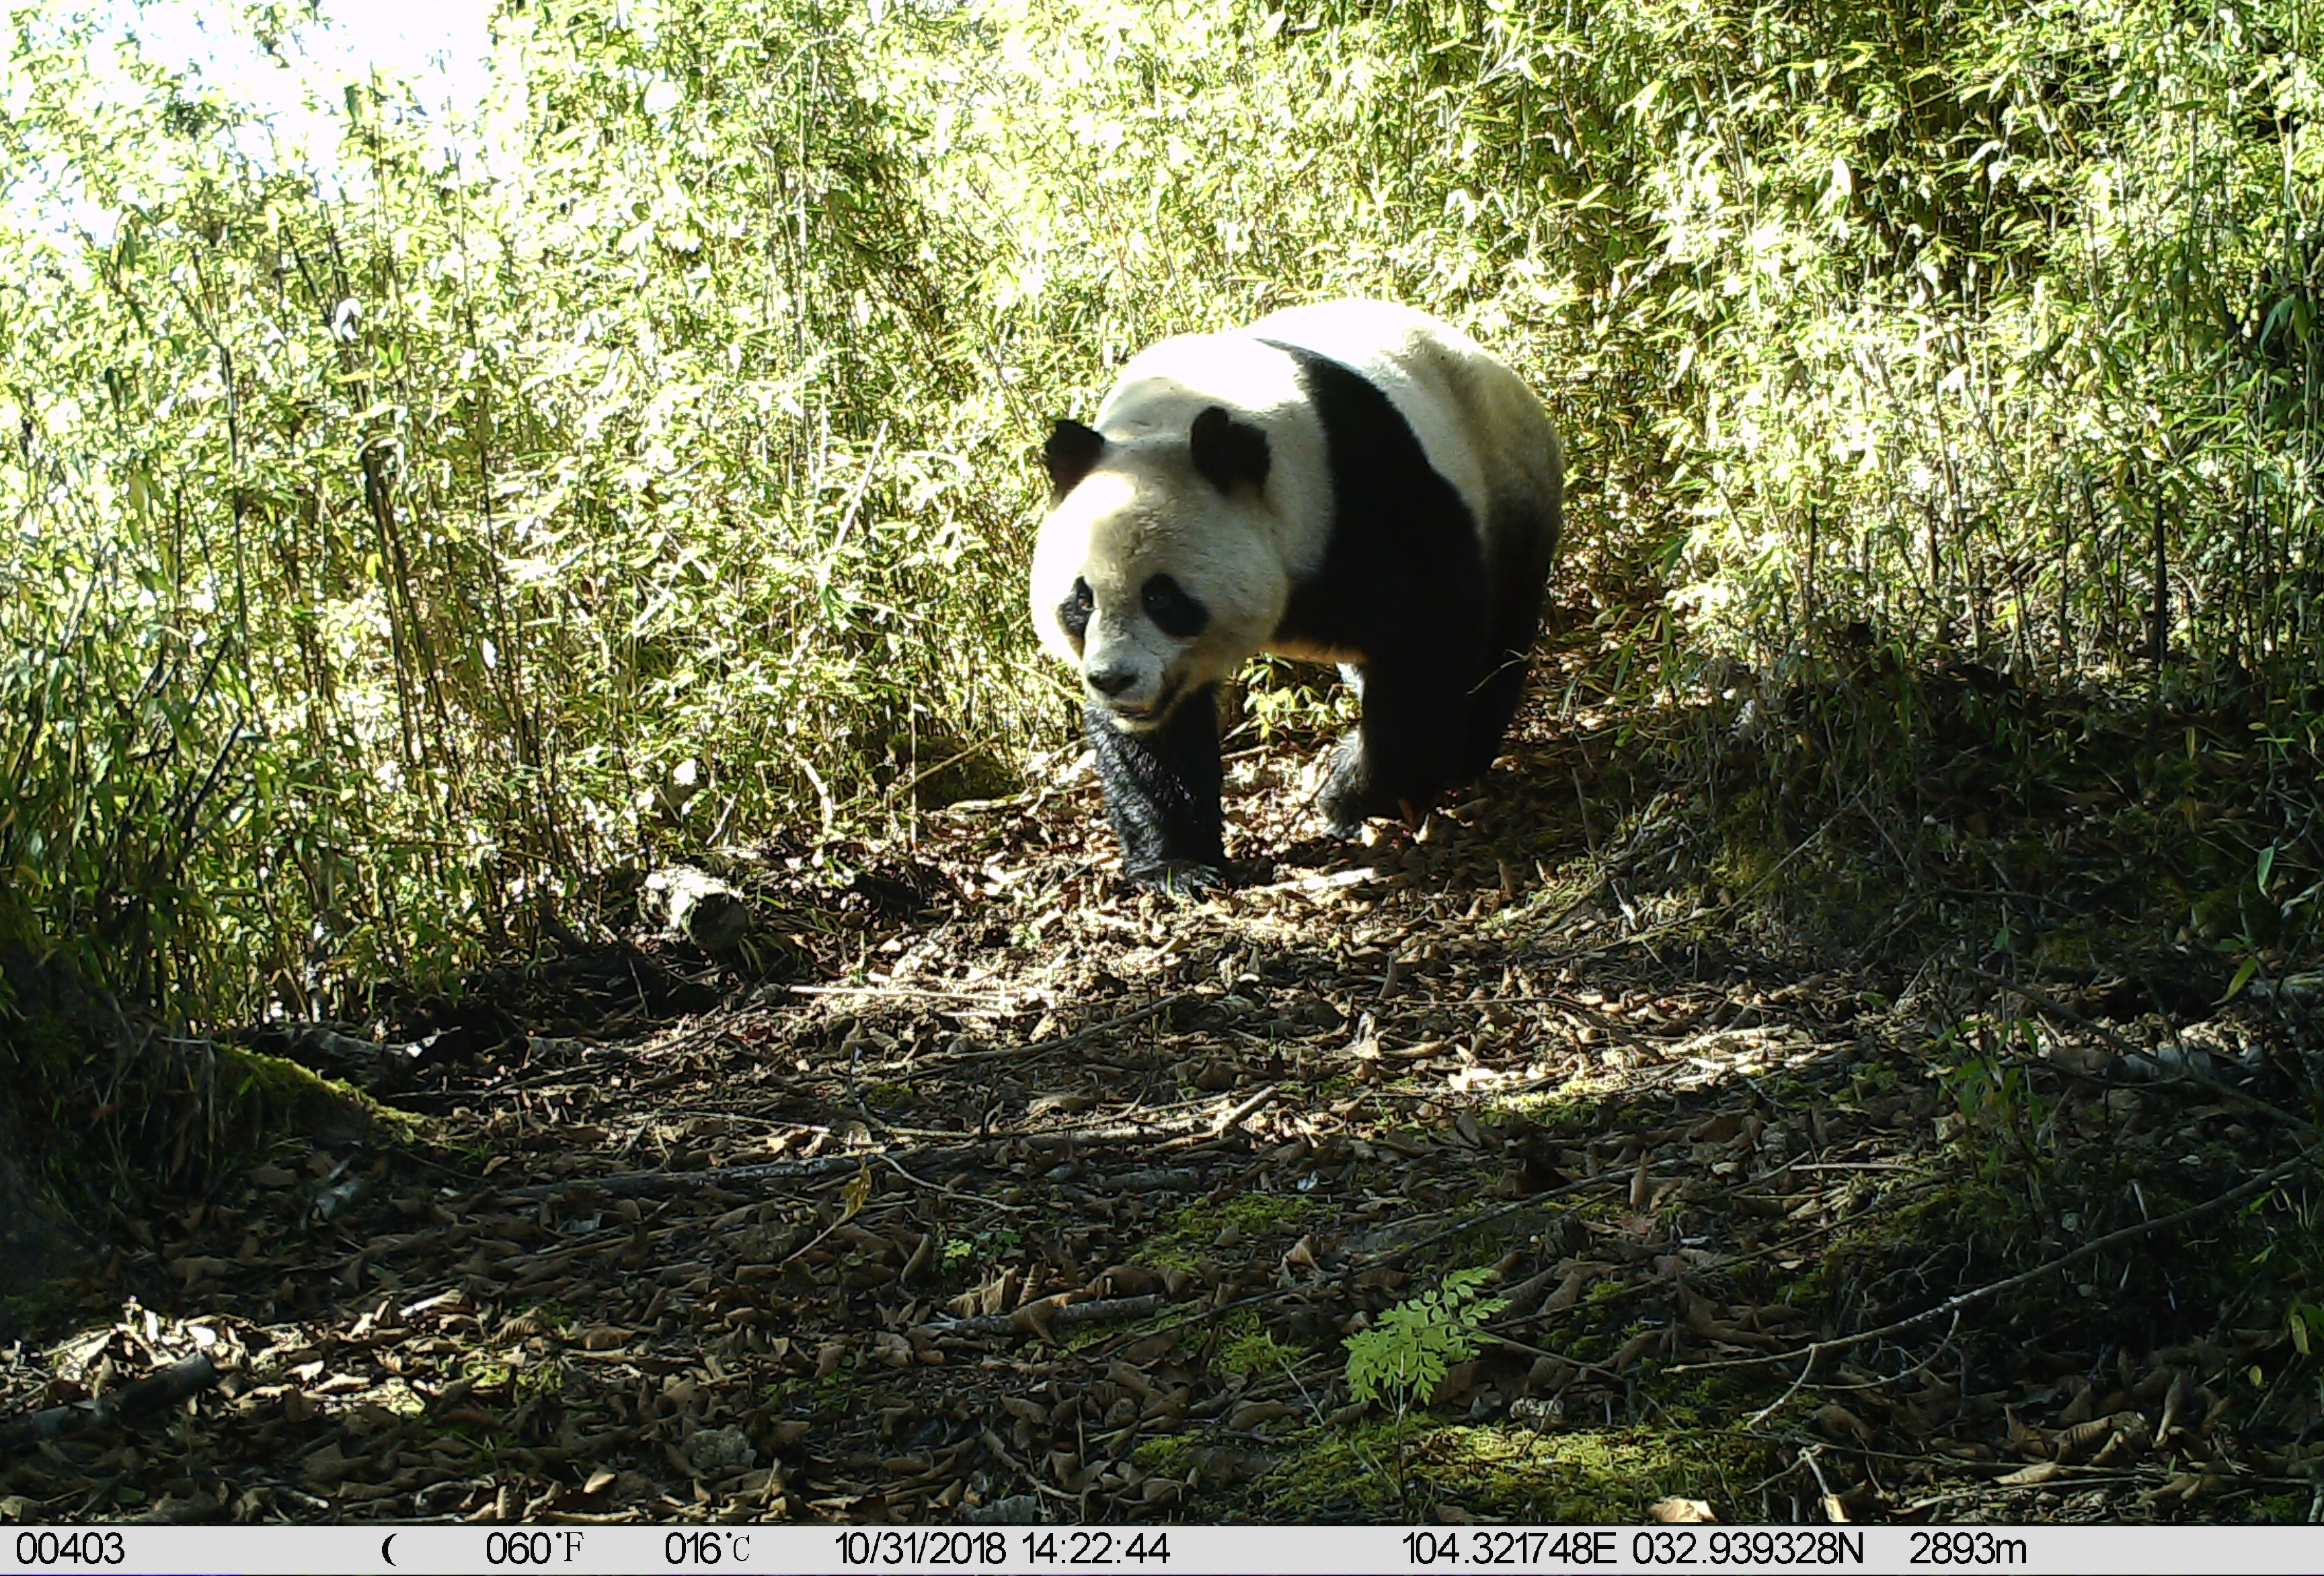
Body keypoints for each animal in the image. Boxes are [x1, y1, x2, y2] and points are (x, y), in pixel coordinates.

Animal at [1032, 302, 1561, 897]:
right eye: (1081, 601)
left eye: (1161, 597)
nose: (1113, 679)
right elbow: (1158, 740)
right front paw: (1179, 866)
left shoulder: (1366, 495)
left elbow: (1429, 643)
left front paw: (1352, 795)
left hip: (1507, 482)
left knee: (1502, 637)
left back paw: (1461, 761)